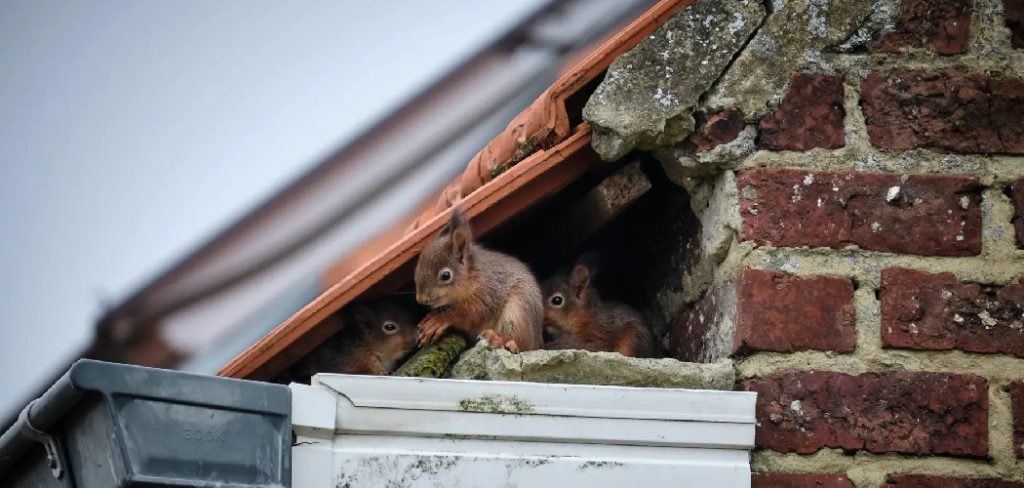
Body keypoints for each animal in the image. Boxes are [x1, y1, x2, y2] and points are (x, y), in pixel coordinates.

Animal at [283, 299, 419, 382]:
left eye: (410, 315)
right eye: (389, 327)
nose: (416, 336)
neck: (368, 346)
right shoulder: (347, 362)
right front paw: (382, 372)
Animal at [414, 209, 543, 353]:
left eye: (445, 275)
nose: (421, 299)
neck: (472, 277)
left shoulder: (488, 290)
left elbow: (473, 313)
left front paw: (439, 320)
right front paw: (430, 317)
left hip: (518, 311)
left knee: (522, 344)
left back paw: (498, 339)